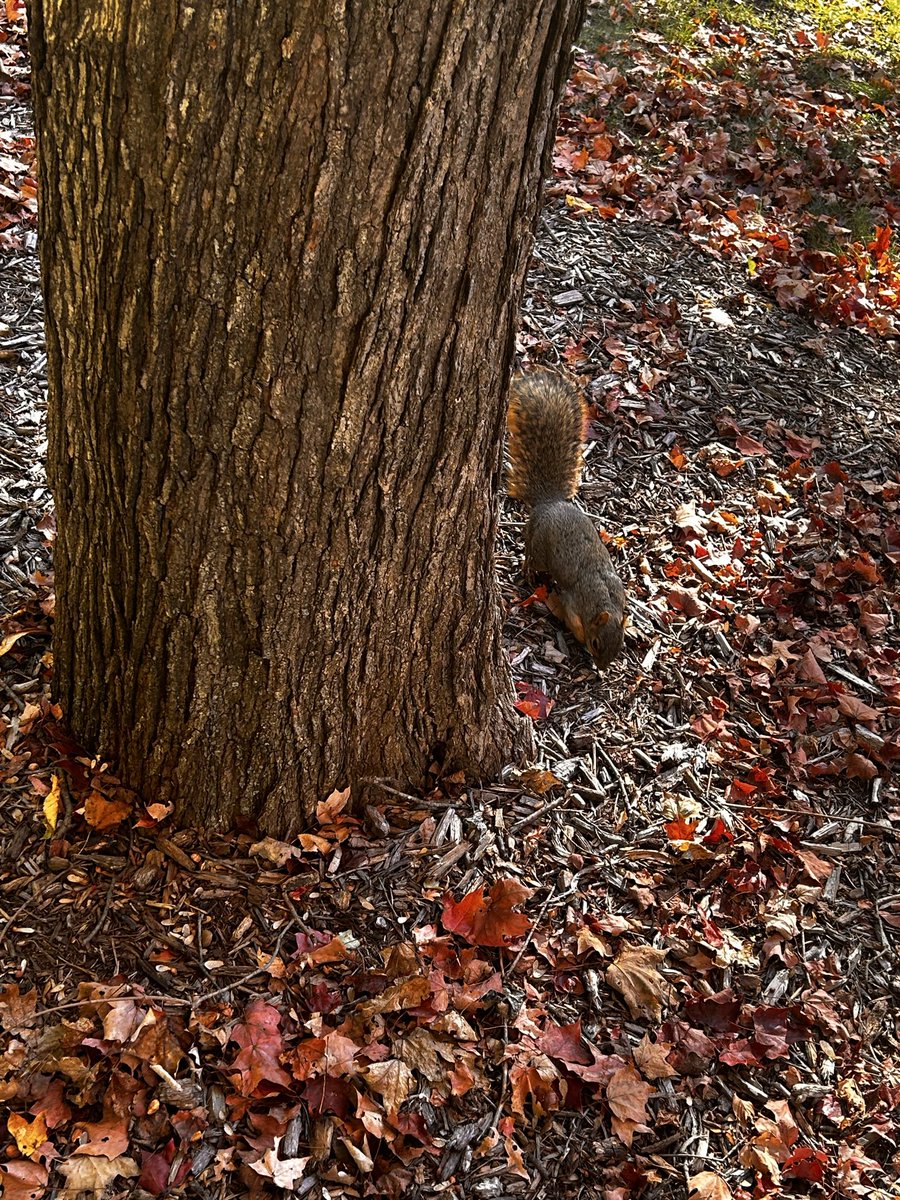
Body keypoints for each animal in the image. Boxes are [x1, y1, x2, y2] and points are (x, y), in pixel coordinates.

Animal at [507, 368, 626, 670]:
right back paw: (528, 570)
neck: (603, 601)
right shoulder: (573, 603)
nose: (603, 667)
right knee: (530, 554)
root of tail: (550, 503)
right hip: (540, 548)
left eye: (619, 646)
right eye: (596, 643)